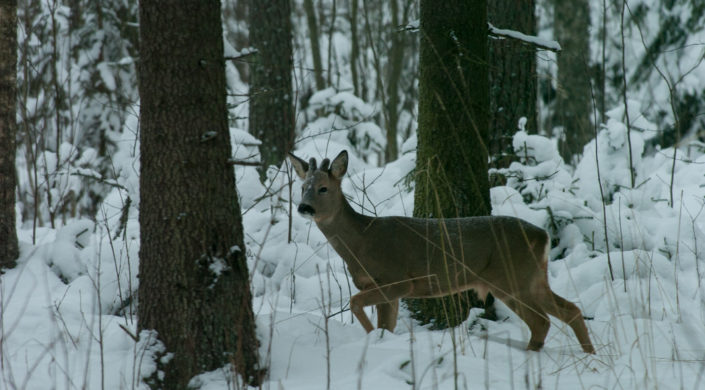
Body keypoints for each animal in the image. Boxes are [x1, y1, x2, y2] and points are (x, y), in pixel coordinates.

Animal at [290, 150, 592, 354]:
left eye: (323, 188)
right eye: (302, 187)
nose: (304, 207)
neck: (362, 242)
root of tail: (543, 236)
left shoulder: (397, 280)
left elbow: (355, 303)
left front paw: (372, 337)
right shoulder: (384, 287)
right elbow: (385, 324)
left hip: (510, 277)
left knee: (541, 321)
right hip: (532, 277)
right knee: (571, 310)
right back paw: (589, 354)